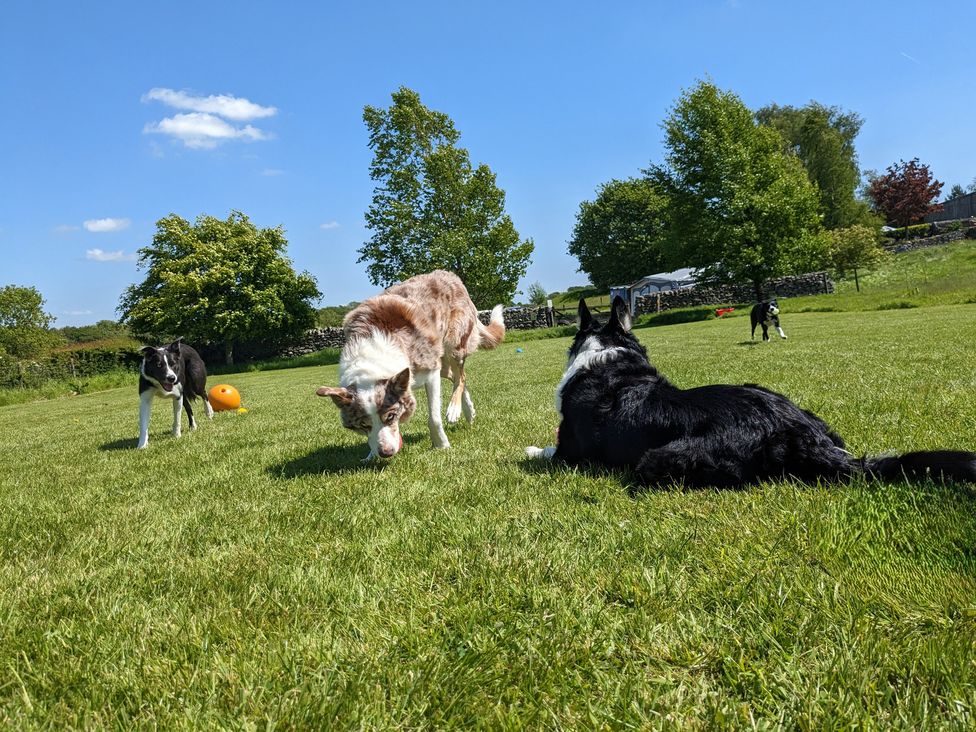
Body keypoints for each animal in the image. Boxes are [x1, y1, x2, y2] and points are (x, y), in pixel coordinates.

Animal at [528, 294, 972, 488]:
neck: (607, 356)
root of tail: (798, 432)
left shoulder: (569, 451)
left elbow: (546, 451)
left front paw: (531, 449)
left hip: (658, 459)